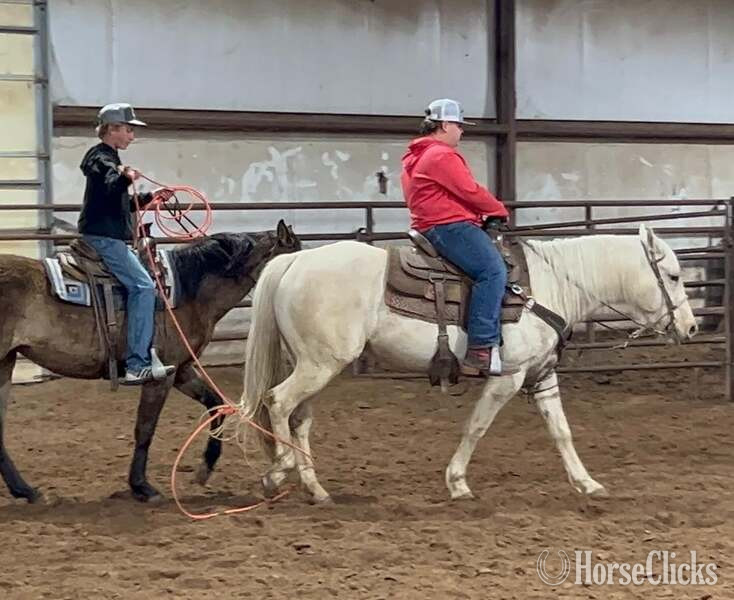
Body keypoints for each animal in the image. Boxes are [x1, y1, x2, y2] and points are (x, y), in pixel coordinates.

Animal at [0, 219, 300, 503]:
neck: (187, 292)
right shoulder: (160, 377)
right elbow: (145, 429)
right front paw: (141, 486)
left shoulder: (182, 371)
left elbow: (216, 405)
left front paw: (205, 468)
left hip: (6, 363)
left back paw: (25, 490)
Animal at [238, 224, 697, 503]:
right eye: (674, 276)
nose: (691, 328)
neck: (548, 288)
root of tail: (295, 261)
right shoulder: (508, 377)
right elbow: (476, 426)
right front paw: (457, 483)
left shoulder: (542, 375)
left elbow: (562, 431)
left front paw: (586, 482)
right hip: (319, 365)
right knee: (277, 402)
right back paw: (278, 472)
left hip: (315, 364)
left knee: (299, 419)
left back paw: (315, 488)